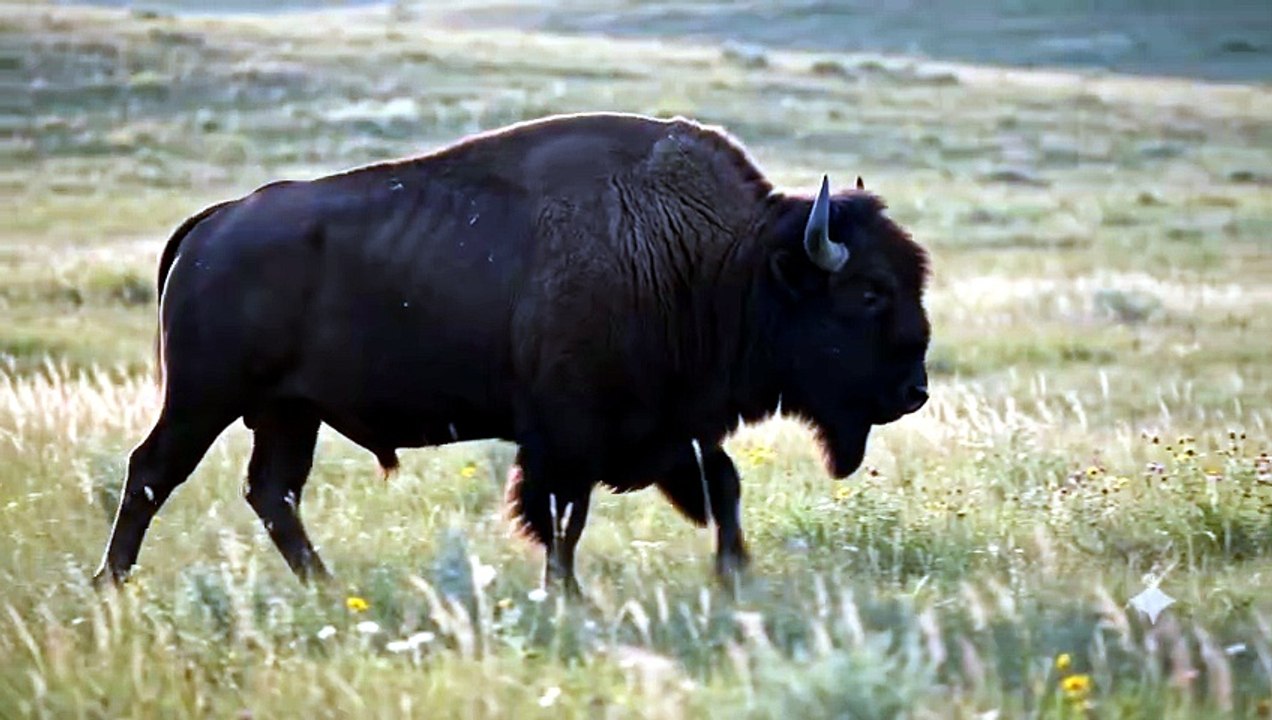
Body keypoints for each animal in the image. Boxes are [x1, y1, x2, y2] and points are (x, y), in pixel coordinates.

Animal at [92, 112, 930, 595]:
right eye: (868, 292)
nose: (913, 390)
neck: (719, 261)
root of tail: (213, 224)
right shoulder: (570, 437)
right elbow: (562, 516)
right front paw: (567, 596)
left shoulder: (668, 427)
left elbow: (720, 487)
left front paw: (735, 577)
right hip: (205, 398)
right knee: (153, 472)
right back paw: (112, 584)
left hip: (289, 412)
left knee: (273, 493)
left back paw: (321, 587)